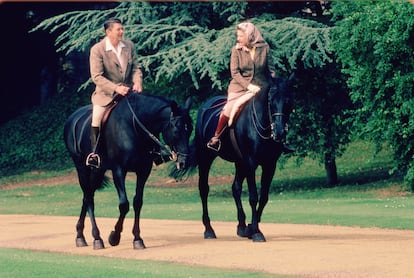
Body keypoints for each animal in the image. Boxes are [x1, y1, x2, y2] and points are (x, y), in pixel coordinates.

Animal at [64, 93, 193, 250]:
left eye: (190, 129)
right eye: (176, 130)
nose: (184, 162)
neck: (134, 127)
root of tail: (73, 117)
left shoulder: (143, 171)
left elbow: (137, 202)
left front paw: (137, 239)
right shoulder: (119, 170)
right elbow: (124, 204)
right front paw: (114, 236)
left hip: (97, 171)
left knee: (87, 196)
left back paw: (80, 236)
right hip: (82, 167)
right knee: (88, 198)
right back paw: (97, 238)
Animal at [194, 75, 294, 242]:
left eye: (288, 101)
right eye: (270, 100)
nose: (279, 132)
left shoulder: (269, 165)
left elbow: (264, 197)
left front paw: (251, 228)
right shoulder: (251, 163)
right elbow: (253, 196)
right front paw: (256, 232)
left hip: (239, 163)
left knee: (235, 188)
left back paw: (241, 226)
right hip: (205, 158)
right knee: (204, 189)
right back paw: (208, 229)